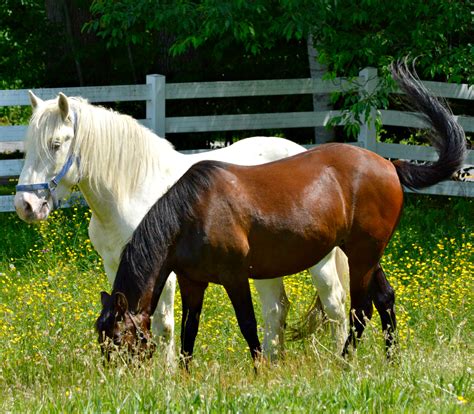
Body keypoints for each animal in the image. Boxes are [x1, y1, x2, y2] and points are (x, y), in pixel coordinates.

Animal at [12, 87, 352, 362]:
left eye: (56, 144)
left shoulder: (167, 271)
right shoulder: (114, 264)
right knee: (276, 309)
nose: (25, 205)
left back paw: (338, 361)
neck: (132, 189)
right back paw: (272, 362)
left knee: (334, 304)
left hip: (319, 260)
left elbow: (163, 324)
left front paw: (167, 373)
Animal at [96, 62, 466, 366]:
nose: (112, 377)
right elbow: (190, 331)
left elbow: (247, 324)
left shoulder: (234, 276)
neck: (193, 212)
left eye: (117, 338)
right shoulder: (192, 281)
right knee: (385, 299)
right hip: (366, 253)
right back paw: (391, 361)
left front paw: (260, 368)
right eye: (101, 339)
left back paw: (344, 363)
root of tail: (391, 165)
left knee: (361, 310)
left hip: (362, 255)